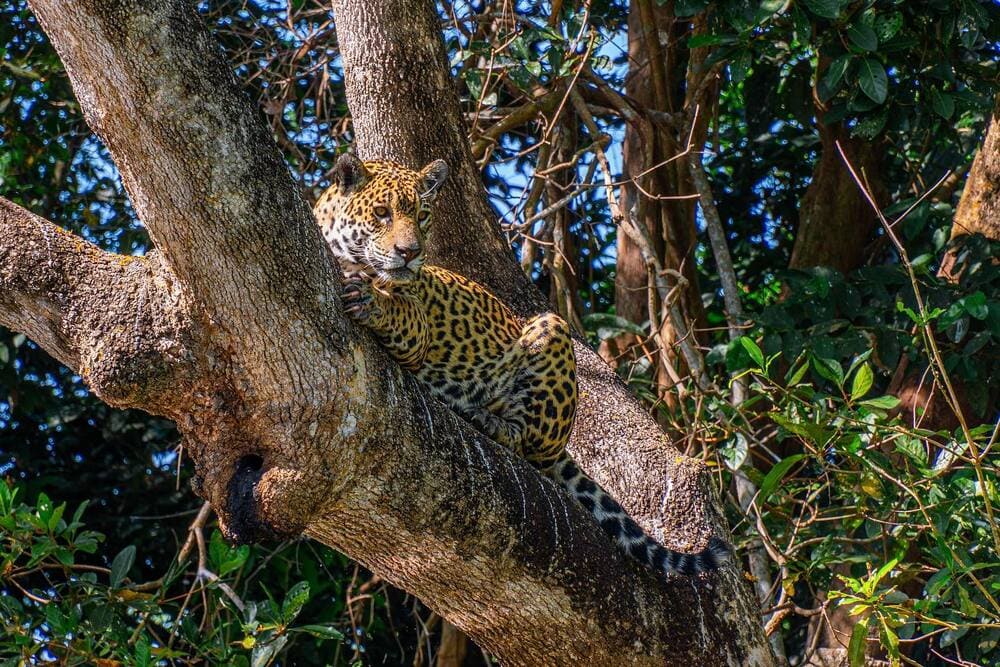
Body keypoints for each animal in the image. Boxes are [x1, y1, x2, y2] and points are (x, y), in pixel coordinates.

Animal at [313, 153, 731, 577]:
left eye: (422, 215)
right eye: (382, 213)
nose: (410, 252)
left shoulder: (418, 323)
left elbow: (395, 306)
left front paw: (371, 298)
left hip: (551, 331)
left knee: (526, 443)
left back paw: (483, 417)